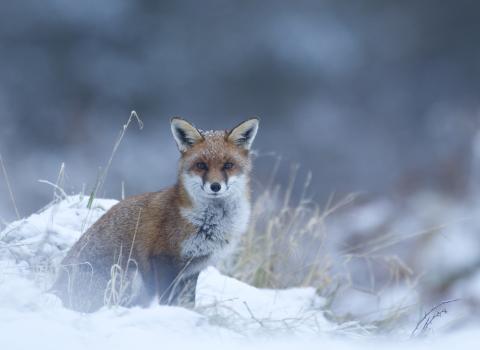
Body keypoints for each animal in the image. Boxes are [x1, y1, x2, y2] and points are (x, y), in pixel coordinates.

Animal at [50, 117, 258, 312]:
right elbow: (168, 301)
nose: (215, 186)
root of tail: (55, 289)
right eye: (201, 165)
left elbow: (189, 303)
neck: (208, 223)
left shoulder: (192, 270)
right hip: (132, 275)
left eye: (228, 165)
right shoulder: (163, 259)